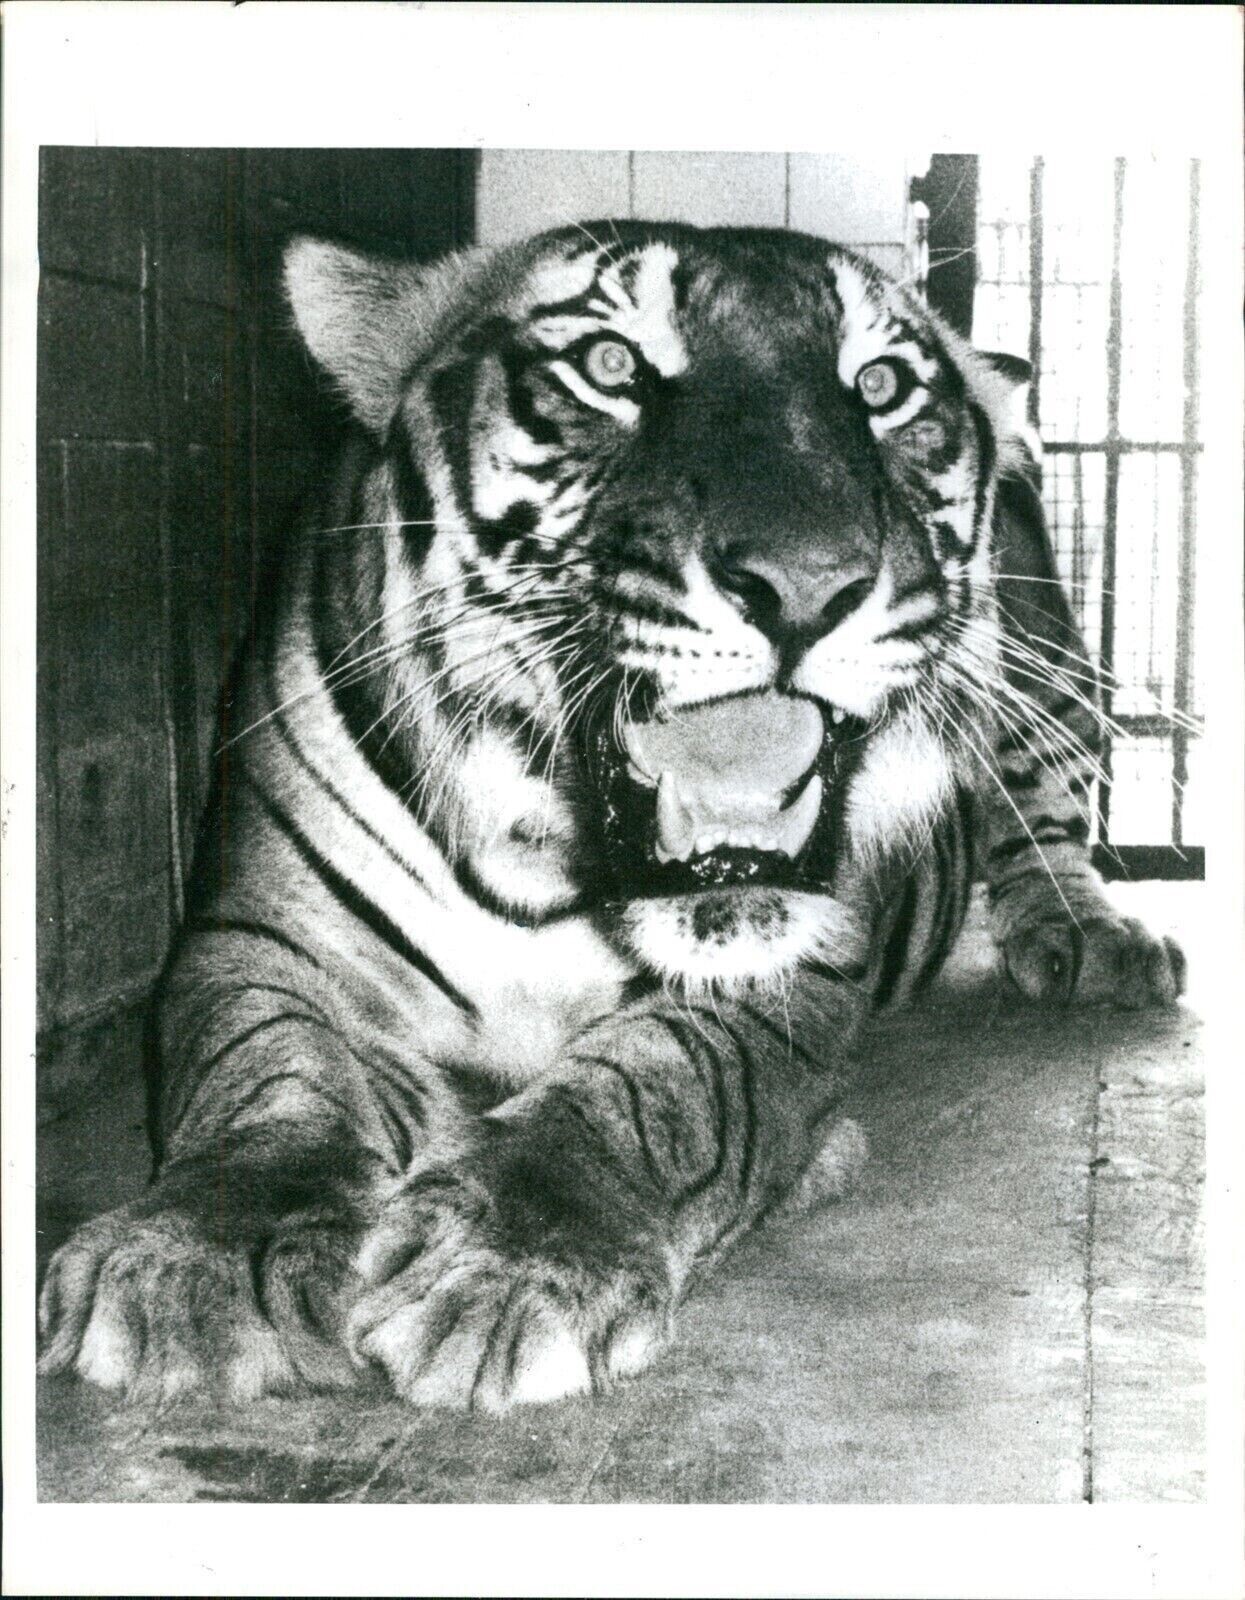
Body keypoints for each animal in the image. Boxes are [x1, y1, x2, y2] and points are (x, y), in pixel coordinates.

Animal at [38, 220, 1185, 1414]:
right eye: (609, 364)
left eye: (881, 385)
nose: (810, 583)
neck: (545, 859)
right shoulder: (259, 939)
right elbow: (267, 1077)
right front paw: (194, 1256)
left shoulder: (784, 980)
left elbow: (655, 1086)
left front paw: (508, 1264)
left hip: (1049, 675)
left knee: (1047, 822)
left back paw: (1094, 941)